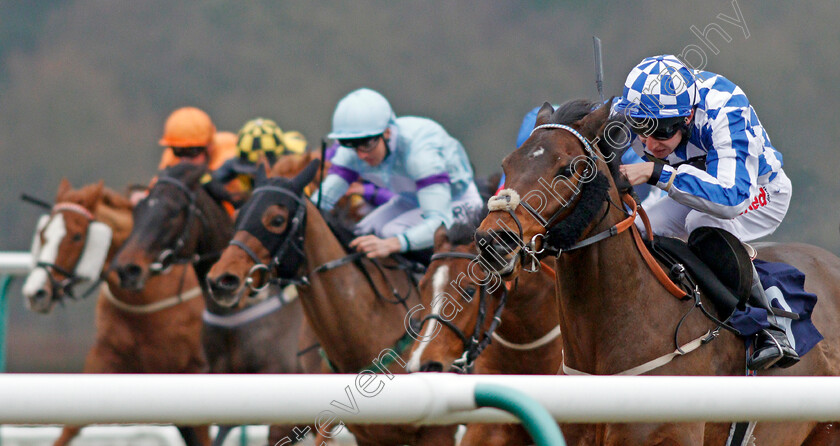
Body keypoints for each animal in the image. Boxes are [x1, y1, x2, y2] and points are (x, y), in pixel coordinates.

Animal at [21, 179, 208, 446]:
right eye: (43, 234)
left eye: (77, 236)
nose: (35, 293)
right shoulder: (105, 357)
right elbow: (71, 426)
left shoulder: (194, 371)